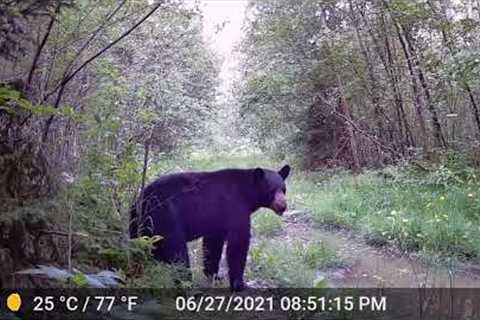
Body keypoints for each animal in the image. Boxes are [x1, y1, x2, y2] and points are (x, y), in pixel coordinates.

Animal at [129, 164, 290, 292]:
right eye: (272, 190)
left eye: (284, 189)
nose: (283, 206)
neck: (246, 193)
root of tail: (142, 201)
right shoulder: (234, 206)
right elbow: (238, 243)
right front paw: (239, 284)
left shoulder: (217, 219)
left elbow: (213, 244)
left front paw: (214, 276)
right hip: (166, 216)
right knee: (177, 251)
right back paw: (186, 282)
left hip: (138, 225)